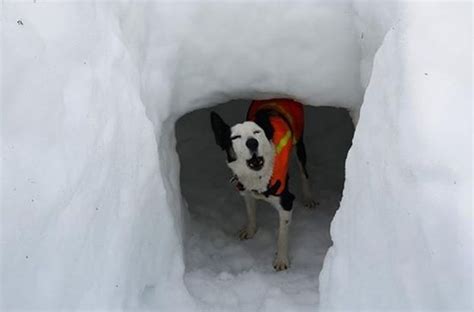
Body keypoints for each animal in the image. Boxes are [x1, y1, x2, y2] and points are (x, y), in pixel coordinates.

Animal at [210, 98, 314, 270]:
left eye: (257, 132)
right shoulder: (245, 190)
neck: (257, 177)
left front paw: (281, 259)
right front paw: (250, 231)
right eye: (235, 137)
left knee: (304, 172)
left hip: (299, 142)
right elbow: (250, 212)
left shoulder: (286, 202)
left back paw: (308, 198)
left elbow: (282, 235)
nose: (252, 143)